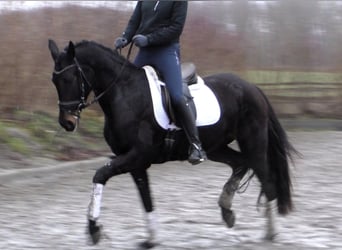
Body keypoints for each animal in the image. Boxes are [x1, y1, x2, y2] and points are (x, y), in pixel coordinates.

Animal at [47, 39, 294, 248]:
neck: (125, 94)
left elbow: (99, 175)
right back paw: (226, 210)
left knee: (266, 179)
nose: (67, 122)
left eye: (70, 79)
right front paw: (151, 239)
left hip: (253, 142)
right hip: (216, 147)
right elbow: (146, 200)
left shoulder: (136, 156)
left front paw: (94, 229)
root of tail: (252, 88)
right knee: (241, 163)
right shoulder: (135, 163)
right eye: (54, 81)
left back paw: (271, 233)